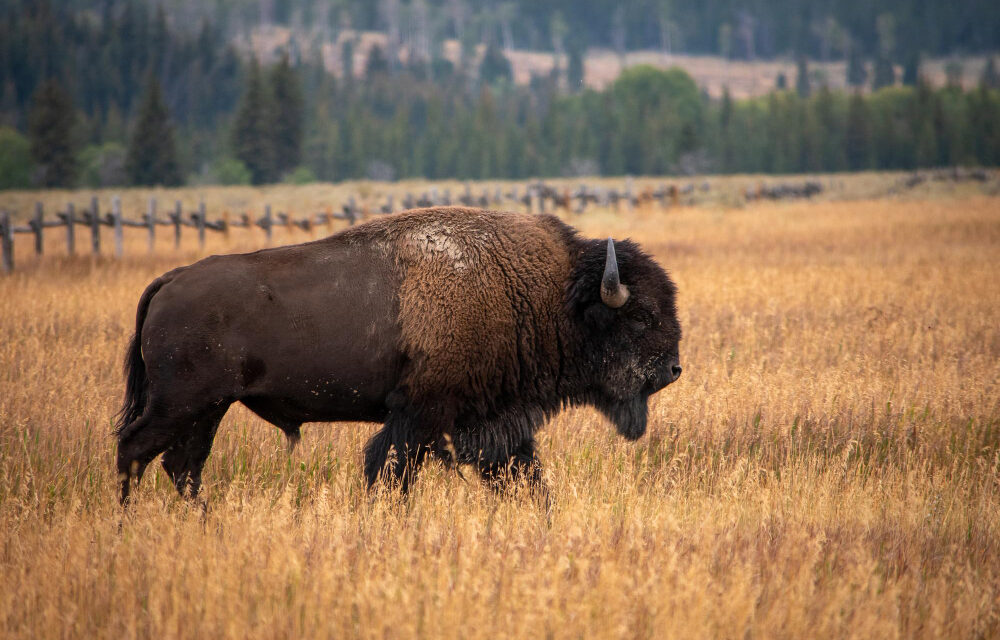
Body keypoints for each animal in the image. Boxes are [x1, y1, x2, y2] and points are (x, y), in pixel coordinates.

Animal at [113, 206, 684, 504]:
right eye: (640, 316)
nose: (674, 369)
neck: (545, 294)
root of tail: (169, 281)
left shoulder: (496, 424)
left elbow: (521, 474)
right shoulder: (421, 415)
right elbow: (391, 471)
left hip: (208, 409)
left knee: (182, 465)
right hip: (181, 403)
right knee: (135, 450)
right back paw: (126, 525)